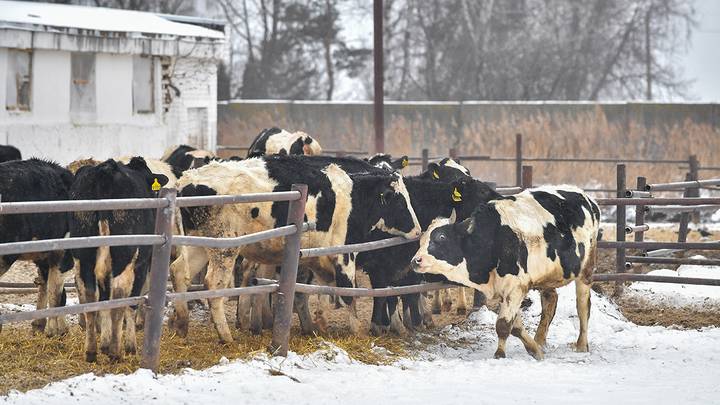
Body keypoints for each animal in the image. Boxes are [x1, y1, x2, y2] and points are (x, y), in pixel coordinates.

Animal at [0, 158, 73, 334]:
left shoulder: (44, 256)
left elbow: (46, 286)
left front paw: (39, 325)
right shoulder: (62, 254)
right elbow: (56, 292)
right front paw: (56, 330)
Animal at [70, 158, 172, 360]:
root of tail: (106, 170)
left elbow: (104, 301)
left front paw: (105, 342)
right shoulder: (141, 264)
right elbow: (131, 303)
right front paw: (129, 346)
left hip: (84, 255)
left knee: (90, 294)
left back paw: (91, 350)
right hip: (124, 254)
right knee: (119, 293)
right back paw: (116, 351)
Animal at [410, 185, 600, 358]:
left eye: (441, 237)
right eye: (421, 240)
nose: (415, 261)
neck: (491, 238)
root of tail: (588, 199)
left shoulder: (515, 288)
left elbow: (503, 325)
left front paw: (500, 354)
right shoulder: (505, 291)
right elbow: (515, 326)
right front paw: (534, 349)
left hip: (586, 269)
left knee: (583, 306)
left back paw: (582, 345)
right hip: (546, 276)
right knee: (550, 301)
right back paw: (539, 340)